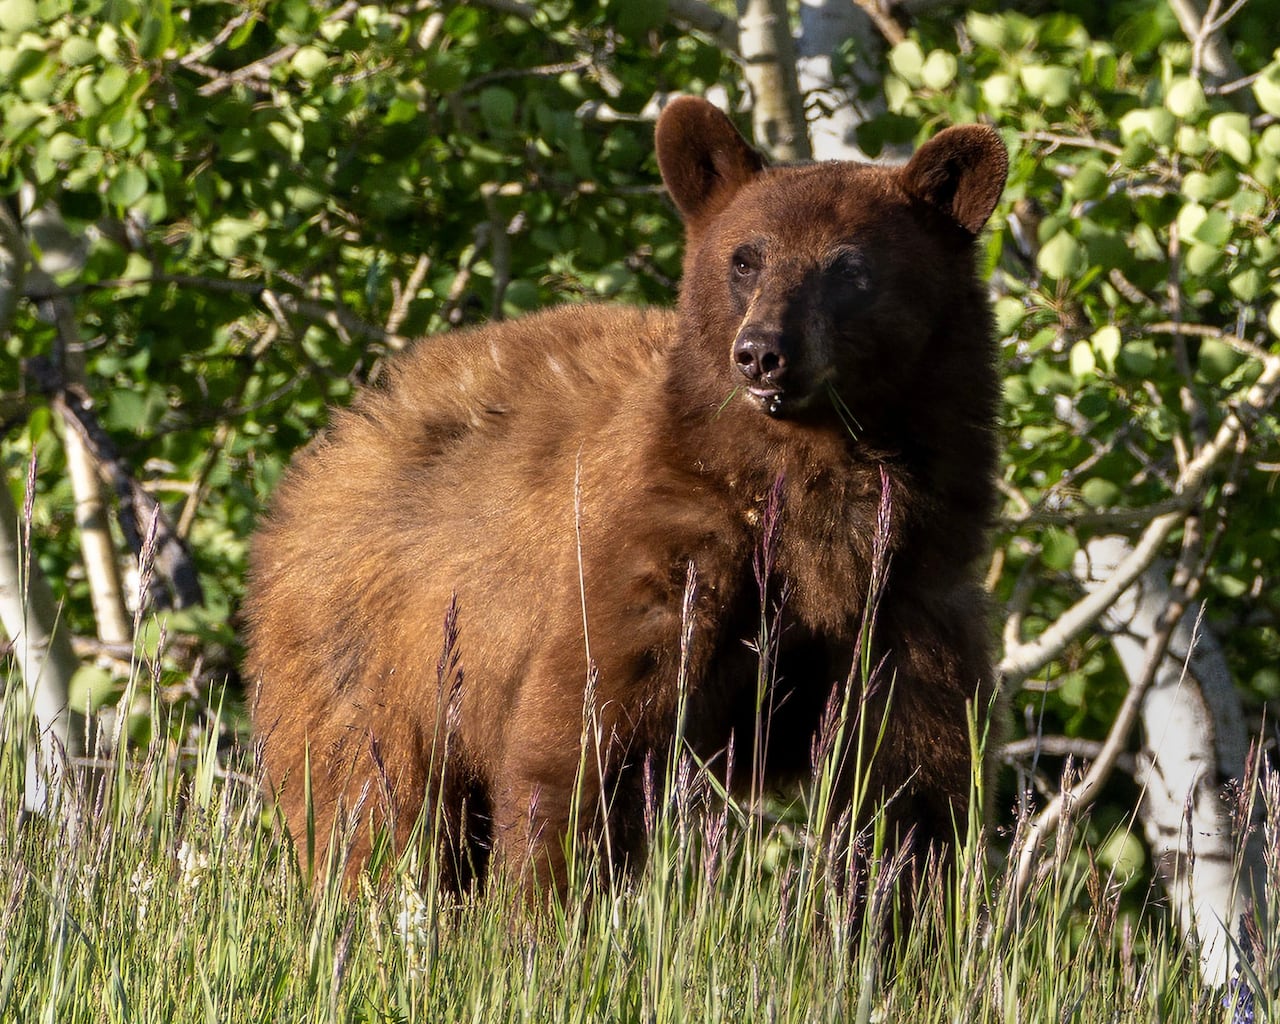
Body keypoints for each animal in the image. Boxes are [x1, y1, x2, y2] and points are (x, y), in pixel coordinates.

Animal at [244, 95, 1008, 902]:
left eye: (850, 266)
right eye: (745, 258)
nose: (762, 353)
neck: (811, 493)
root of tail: (336, 445)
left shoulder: (906, 597)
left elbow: (910, 793)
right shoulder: (664, 553)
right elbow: (581, 745)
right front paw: (551, 908)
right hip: (371, 664)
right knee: (374, 813)